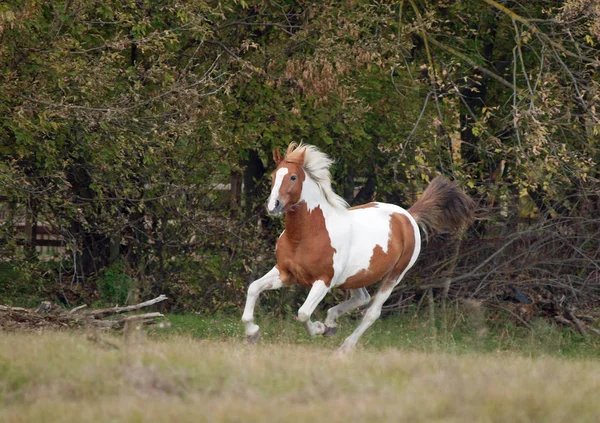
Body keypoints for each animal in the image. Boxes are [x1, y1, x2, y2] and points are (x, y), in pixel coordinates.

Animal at [240, 142, 474, 354]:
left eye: (293, 177)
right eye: (273, 176)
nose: (273, 206)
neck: (306, 236)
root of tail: (407, 215)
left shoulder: (324, 280)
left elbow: (304, 312)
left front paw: (319, 328)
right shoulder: (285, 272)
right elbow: (253, 288)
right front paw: (252, 334)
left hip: (395, 275)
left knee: (372, 312)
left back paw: (343, 347)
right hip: (356, 276)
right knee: (362, 298)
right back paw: (332, 323)